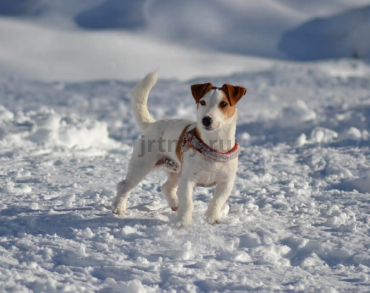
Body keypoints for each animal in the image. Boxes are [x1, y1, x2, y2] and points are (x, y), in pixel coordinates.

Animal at [112, 70, 246, 226]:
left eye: (223, 104)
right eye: (202, 102)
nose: (206, 120)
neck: (213, 144)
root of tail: (153, 124)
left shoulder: (226, 182)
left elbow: (217, 201)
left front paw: (211, 219)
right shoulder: (187, 180)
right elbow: (188, 202)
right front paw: (183, 223)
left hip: (176, 171)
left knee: (166, 187)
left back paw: (175, 205)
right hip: (141, 166)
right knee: (124, 185)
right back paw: (119, 209)